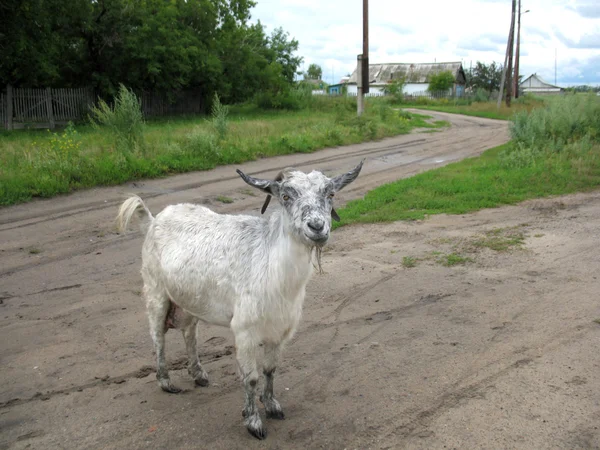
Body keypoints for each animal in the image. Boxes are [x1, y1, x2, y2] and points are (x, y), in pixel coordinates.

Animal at [115, 163, 364, 440]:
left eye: (330, 194)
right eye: (286, 196)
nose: (317, 227)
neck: (271, 264)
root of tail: (152, 220)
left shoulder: (280, 329)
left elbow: (270, 369)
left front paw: (272, 405)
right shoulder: (244, 330)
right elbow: (251, 377)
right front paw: (253, 421)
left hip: (190, 300)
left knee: (190, 333)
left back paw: (199, 375)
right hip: (156, 291)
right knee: (158, 336)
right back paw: (166, 382)